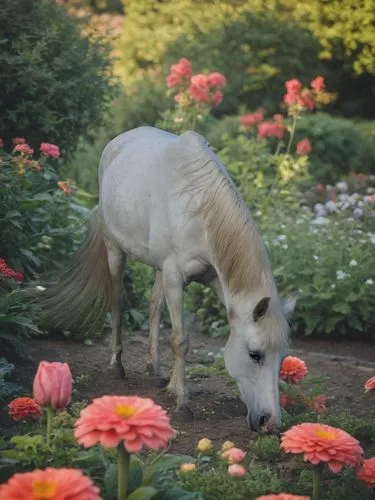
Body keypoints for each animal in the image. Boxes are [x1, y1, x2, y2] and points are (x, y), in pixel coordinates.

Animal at [43, 126, 296, 434]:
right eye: (254, 354)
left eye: (282, 357)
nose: (270, 423)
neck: (198, 208)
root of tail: (117, 142)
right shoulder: (175, 275)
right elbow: (180, 340)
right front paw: (183, 403)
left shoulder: (211, 279)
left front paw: (174, 387)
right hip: (116, 251)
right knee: (117, 302)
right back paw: (117, 364)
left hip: (158, 269)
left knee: (153, 308)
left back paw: (155, 369)